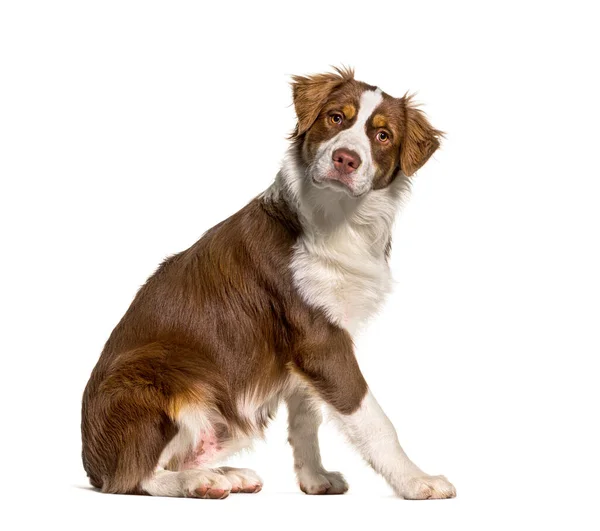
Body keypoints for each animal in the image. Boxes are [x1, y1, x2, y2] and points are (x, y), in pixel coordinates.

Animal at [79, 65, 454, 498]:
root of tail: (91, 463)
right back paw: (200, 481)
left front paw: (314, 479)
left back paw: (229, 474)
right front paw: (416, 481)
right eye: (335, 118)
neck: (337, 219)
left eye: (383, 136)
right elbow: (374, 420)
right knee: (134, 477)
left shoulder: (304, 352)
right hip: (158, 375)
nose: (345, 159)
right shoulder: (320, 340)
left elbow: (307, 419)